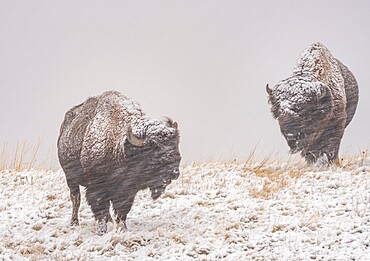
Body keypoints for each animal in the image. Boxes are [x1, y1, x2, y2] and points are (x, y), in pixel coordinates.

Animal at [56, 90, 182, 233]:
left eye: (175, 144)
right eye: (154, 148)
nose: (174, 172)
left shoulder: (127, 190)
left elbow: (122, 210)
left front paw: (122, 228)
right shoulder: (96, 188)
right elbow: (100, 208)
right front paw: (102, 231)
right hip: (70, 178)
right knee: (75, 199)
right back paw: (74, 222)